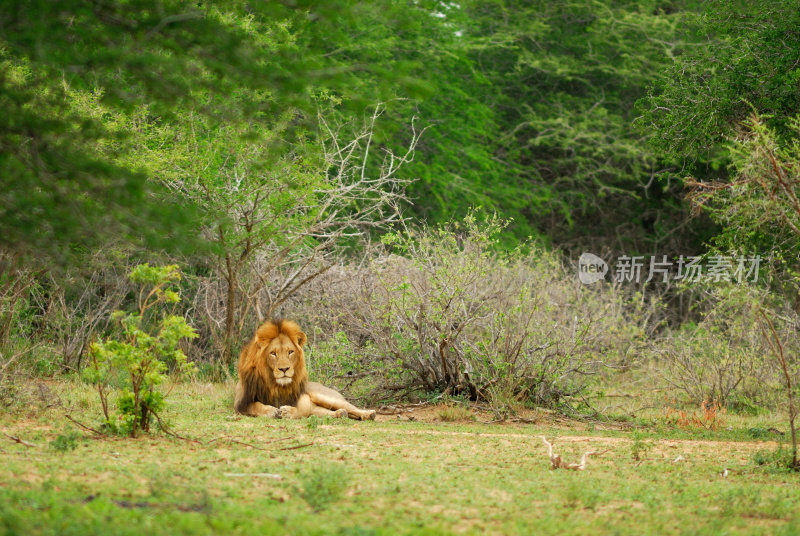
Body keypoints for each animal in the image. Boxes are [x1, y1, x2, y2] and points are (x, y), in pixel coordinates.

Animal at [233, 318, 376, 418]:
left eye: (290, 352)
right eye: (273, 353)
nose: (284, 369)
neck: (275, 384)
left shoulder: (299, 401)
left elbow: (299, 409)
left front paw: (286, 411)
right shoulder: (240, 402)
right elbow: (255, 406)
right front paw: (272, 410)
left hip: (327, 397)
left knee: (351, 407)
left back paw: (369, 414)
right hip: (320, 409)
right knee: (330, 412)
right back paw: (341, 414)